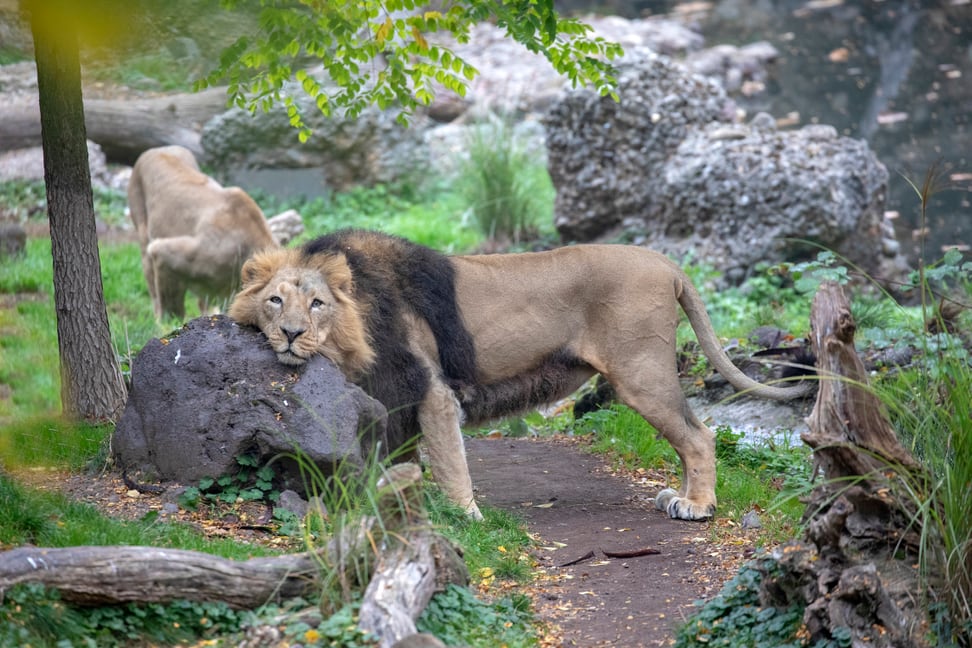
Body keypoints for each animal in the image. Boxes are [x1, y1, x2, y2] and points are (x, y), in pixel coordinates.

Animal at [230, 228, 812, 520]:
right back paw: (680, 499)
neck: (356, 334)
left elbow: (450, 462)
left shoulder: (430, 390)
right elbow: (398, 463)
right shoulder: (392, 400)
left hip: (641, 373)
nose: (290, 334)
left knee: (698, 435)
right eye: (275, 300)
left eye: (317, 304)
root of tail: (667, 263)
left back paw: (697, 506)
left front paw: (466, 520)